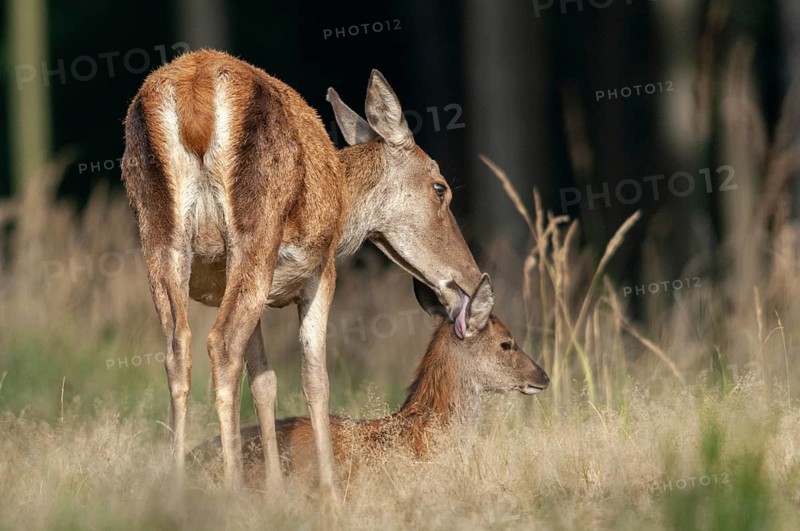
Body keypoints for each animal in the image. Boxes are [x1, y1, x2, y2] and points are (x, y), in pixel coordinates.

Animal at [120, 49, 482, 498]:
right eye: (440, 187)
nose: (473, 280)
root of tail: (195, 93)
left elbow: (265, 379)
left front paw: (277, 490)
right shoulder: (320, 272)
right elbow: (315, 379)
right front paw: (330, 492)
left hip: (158, 235)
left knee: (178, 347)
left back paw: (176, 486)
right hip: (256, 229)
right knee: (222, 342)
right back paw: (231, 490)